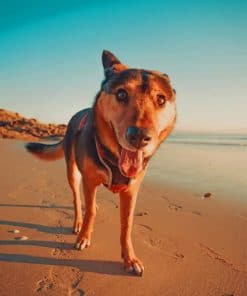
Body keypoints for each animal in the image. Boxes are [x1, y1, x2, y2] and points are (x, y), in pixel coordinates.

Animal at [26, 50, 177, 276]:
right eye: (121, 94)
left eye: (161, 99)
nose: (139, 137)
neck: (113, 158)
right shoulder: (89, 181)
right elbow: (89, 211)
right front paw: (84, 237)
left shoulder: (131, 191)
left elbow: (126, 224)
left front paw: (129, 257)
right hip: (73, 172)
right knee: (78, 200)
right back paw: (79, 222)